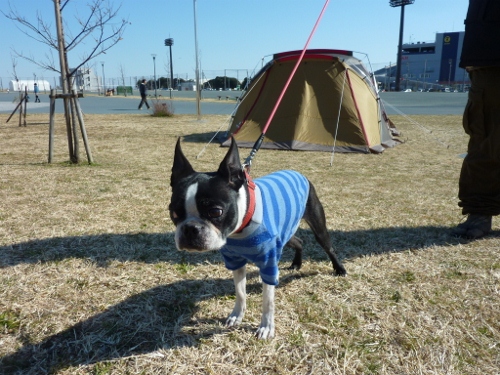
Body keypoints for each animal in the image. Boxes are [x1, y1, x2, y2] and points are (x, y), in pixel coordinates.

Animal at [168, 138, 344, 340]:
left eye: (215, 212)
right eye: (174, 212)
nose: (190, 229)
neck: (240, 228)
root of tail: (297, 173)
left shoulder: (268, 264)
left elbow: (268, 301)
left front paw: (266, 327)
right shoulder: (235, 261)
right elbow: (240, 292)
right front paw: (236, 315)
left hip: (317, 224)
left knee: (328, 247)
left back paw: (339, 269)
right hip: (284, 234)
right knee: (299, 242)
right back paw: (296, 264)